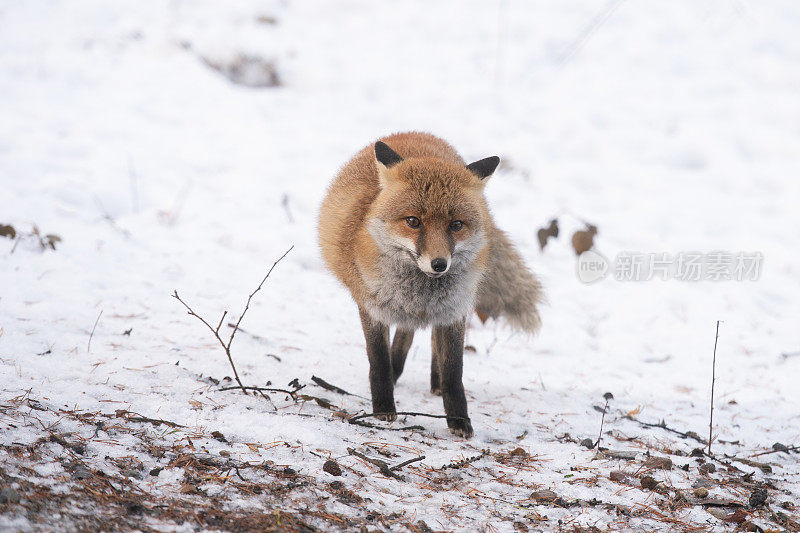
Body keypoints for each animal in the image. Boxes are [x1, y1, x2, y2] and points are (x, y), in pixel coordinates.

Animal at [318, 132, 544, 436]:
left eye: (456, 225)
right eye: (413, 221)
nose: (439, 264)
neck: (421, 293)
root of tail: (415, 133)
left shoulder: (455, 310)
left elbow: (454, 371)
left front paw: (459, 419)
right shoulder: (372, 306)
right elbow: (379, 361)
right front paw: (383, 408)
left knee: (420, 338)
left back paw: (431, 381)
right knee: (405, 335)